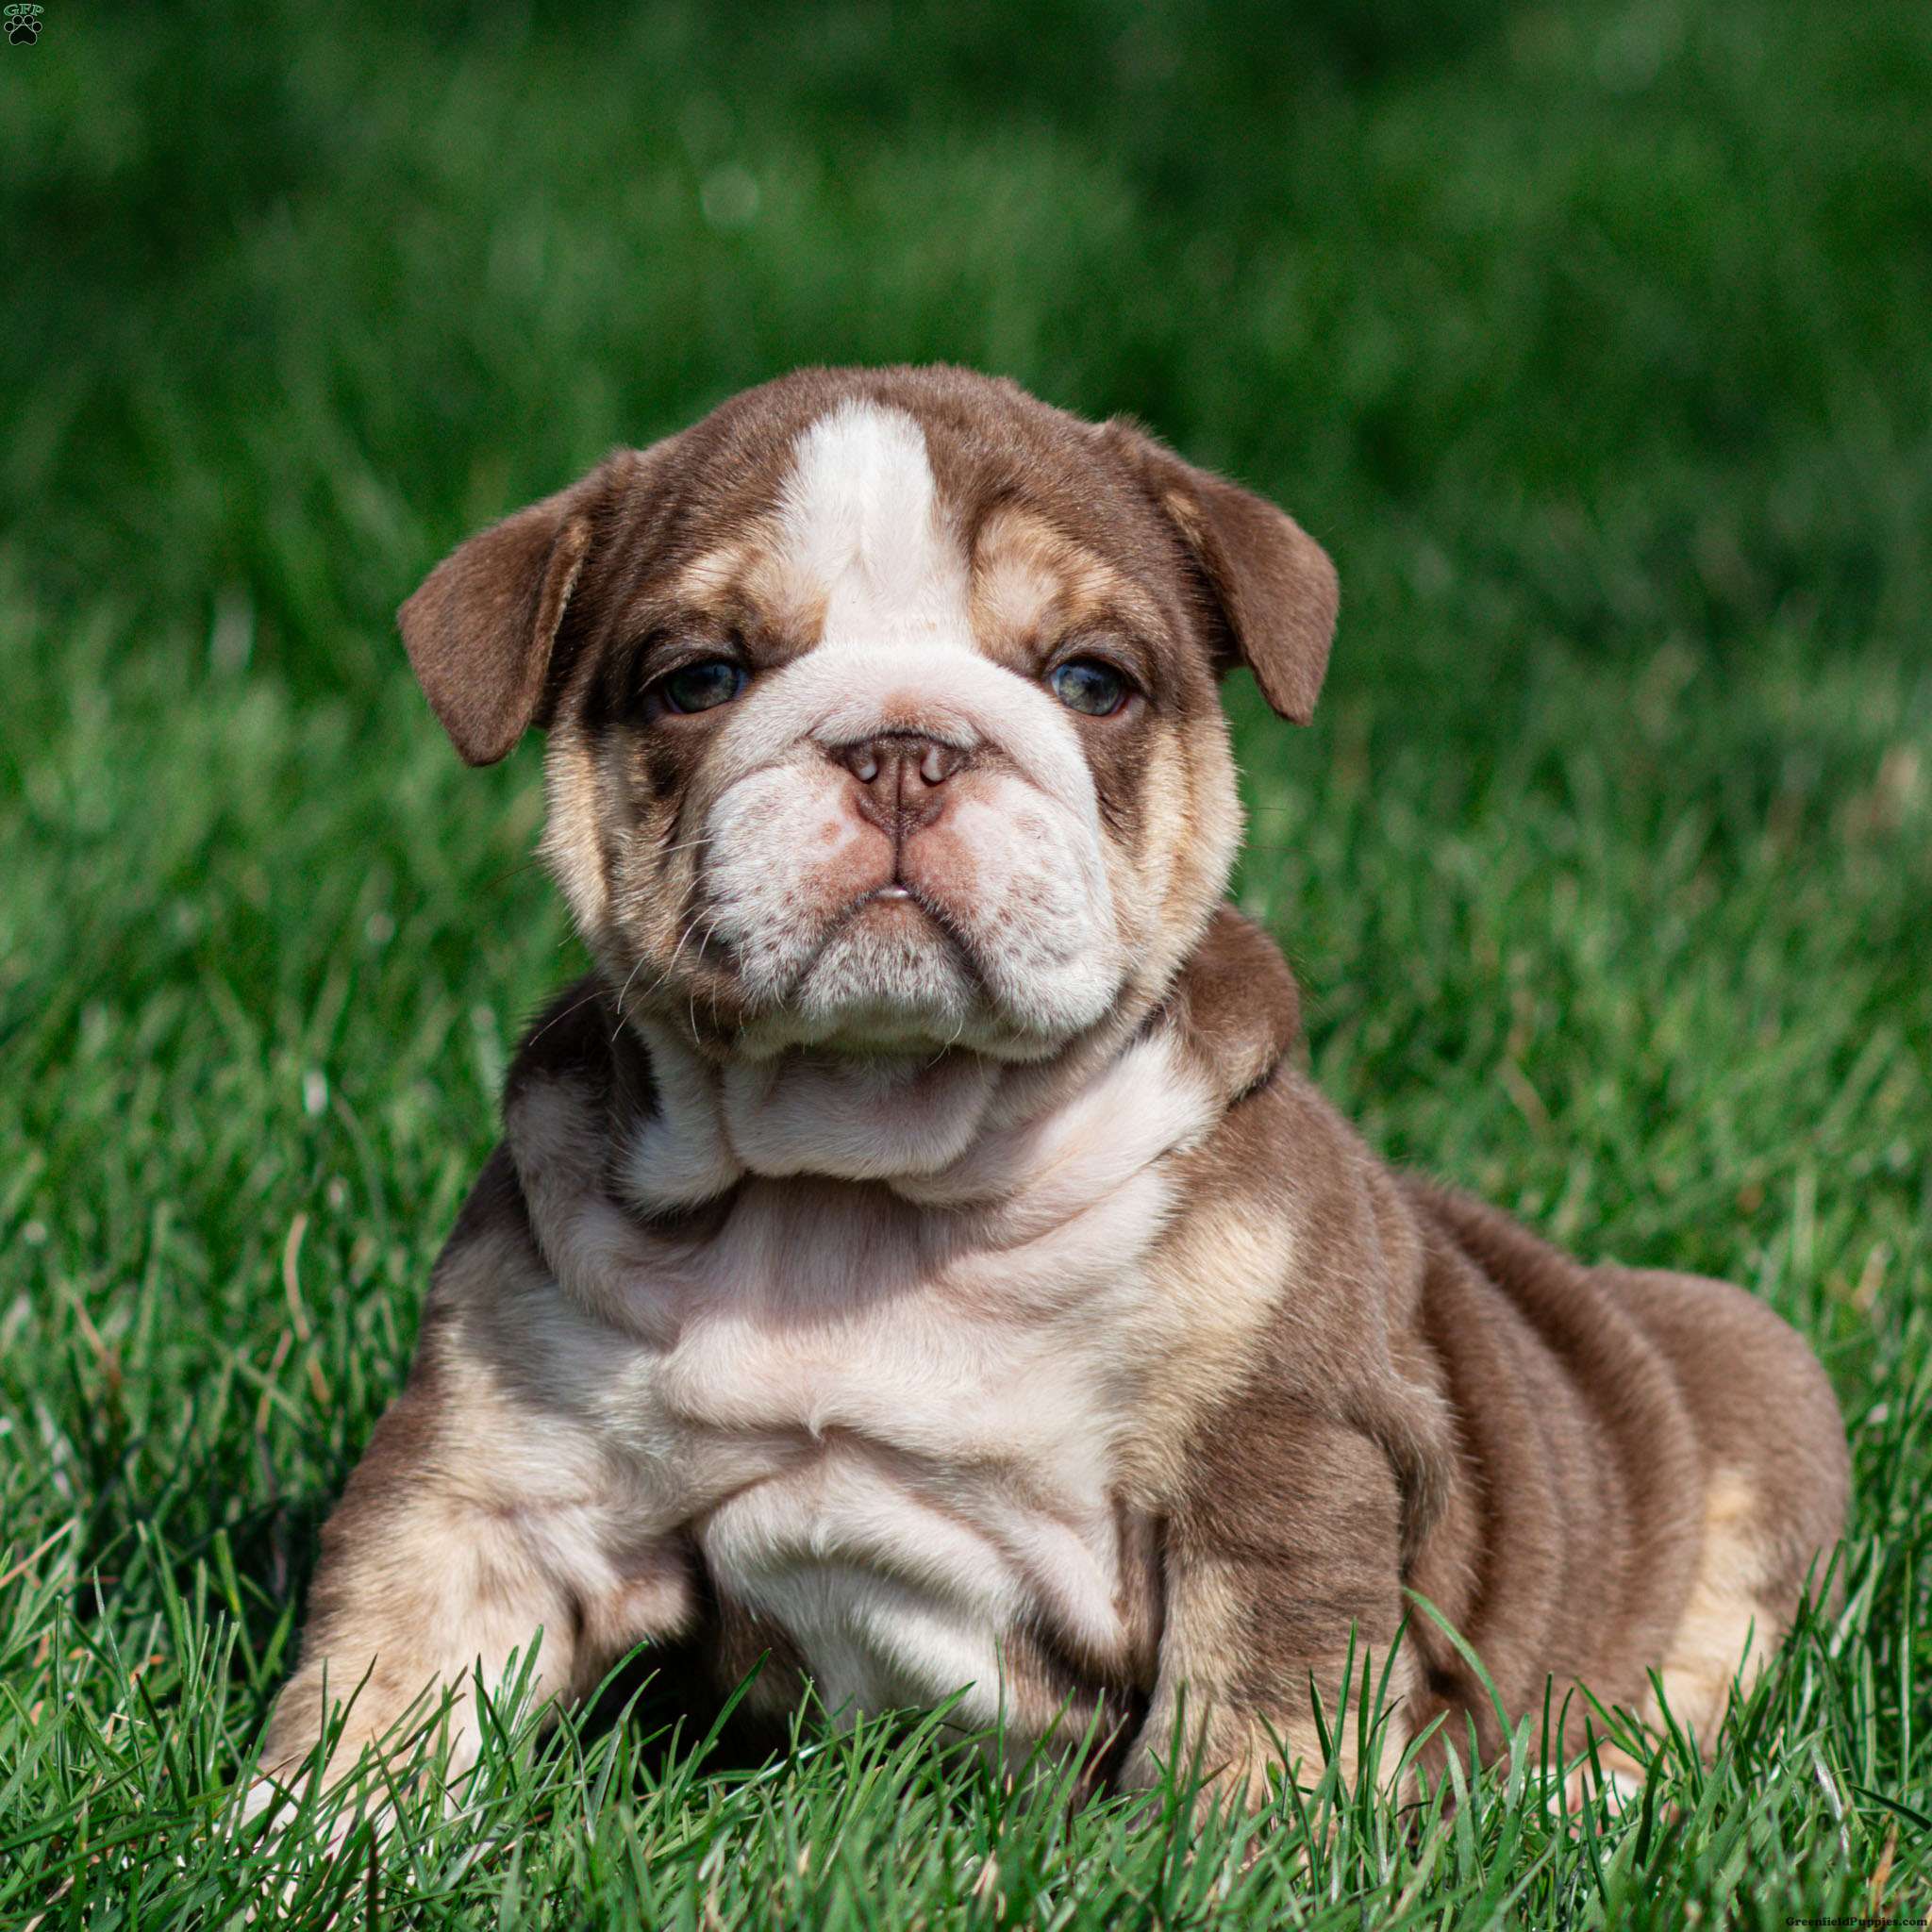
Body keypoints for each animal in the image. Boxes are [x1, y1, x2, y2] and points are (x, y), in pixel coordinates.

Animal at [254, 365, 1848, 1823]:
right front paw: (304, 1843)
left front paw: (1221, 1867)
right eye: (699, 678)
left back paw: (1588, 1793)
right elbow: (389, 1672)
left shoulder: (1277, 1471)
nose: (905, 746)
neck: (868, 1174)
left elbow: (1251, 1715)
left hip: (1758, 1393)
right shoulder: (492, 1471)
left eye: (1092, 681)